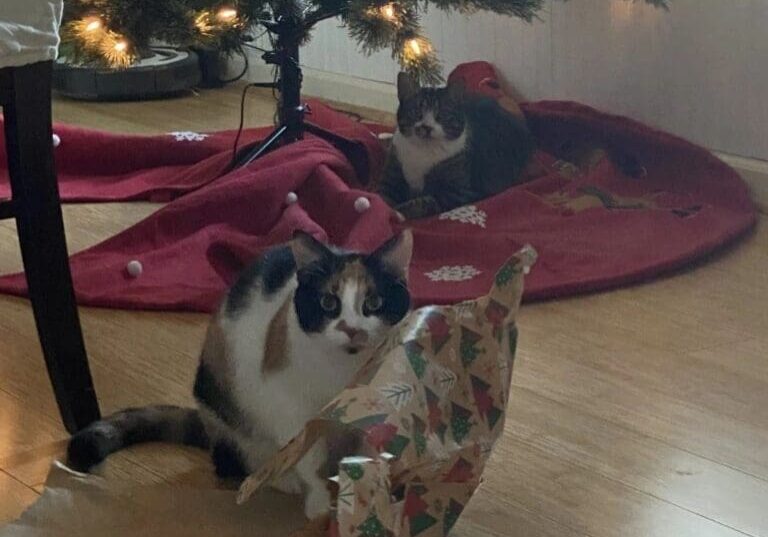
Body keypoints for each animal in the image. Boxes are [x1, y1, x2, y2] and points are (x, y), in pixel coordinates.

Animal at [66, 230, 414, 520]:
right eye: (329, 303)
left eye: (374, 302)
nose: (352, 330)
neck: (343, 372)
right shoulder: (289, 408)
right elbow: (309, 459)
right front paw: (317, 503)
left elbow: (369, 451)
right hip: (230, 415)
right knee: (237, 462)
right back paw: (280, 478)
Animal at [378, 72, 536, 219]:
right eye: (417, 113)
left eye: (441, 115)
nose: (426, 127)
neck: (423, 151)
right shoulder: (391, 175)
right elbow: (382, 195)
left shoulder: (459, 193)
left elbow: (426, 201)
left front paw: (398, 212)